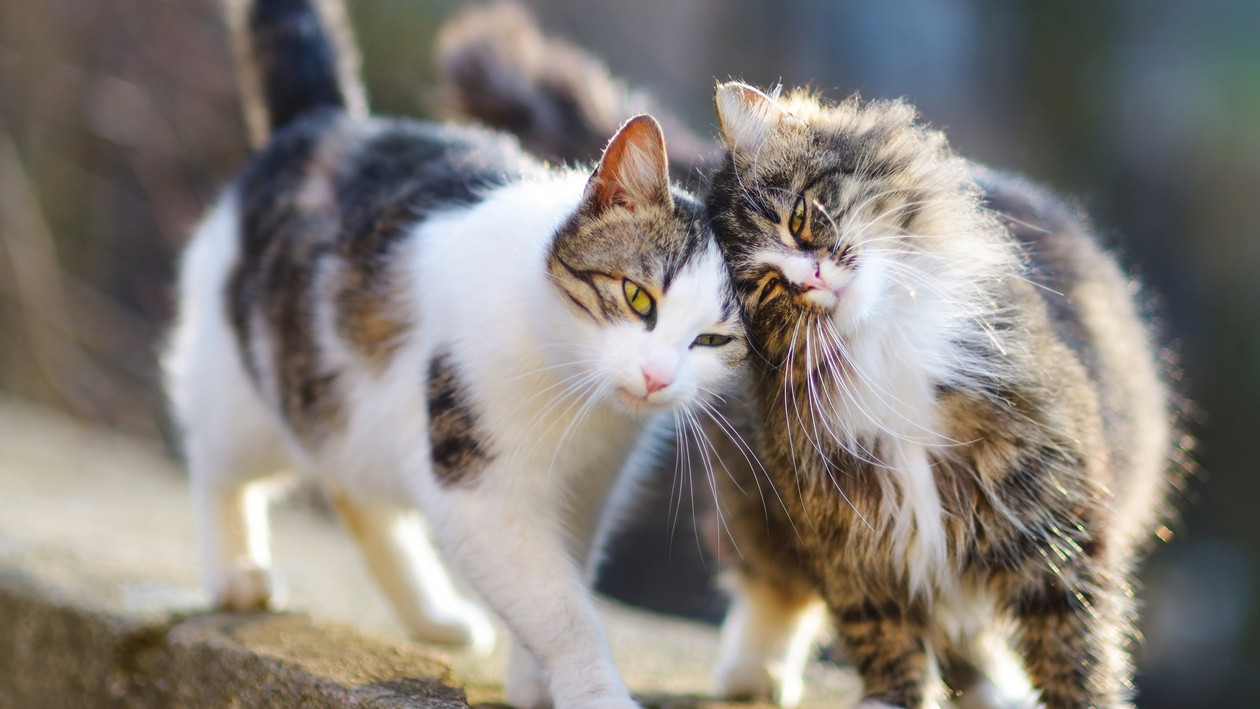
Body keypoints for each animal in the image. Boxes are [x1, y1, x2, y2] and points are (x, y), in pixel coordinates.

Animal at [162, 1, 740, 709]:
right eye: (638, 297)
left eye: (714, 340)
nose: (658, 378)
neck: (574, 395)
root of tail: (327, 122)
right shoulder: (480, 490)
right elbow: (562, 608)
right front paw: (593, 690)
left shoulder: (588, 489)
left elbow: (564, 579)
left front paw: (533, 682)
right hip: (248, 382)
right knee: (220, 464)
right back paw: (237, 573)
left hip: (356, 410)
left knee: (356, 491)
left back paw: (433, 617)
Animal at [433, 11, 1179, 709]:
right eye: (767, 287)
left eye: (798, 220)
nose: (813, 278)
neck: (883, 351)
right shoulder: (848, 529)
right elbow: (882, 637)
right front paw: (891, 696)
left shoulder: (1047, 514)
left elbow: (1074, 651)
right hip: (756, 494)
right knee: (778, 588)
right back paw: (754, 671)